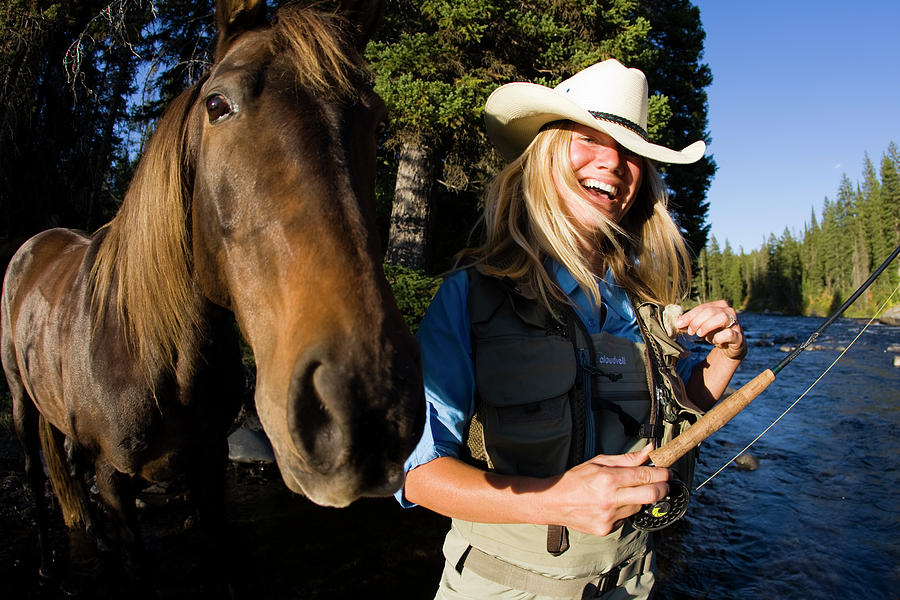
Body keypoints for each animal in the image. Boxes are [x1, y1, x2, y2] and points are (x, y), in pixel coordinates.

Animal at [0, 0, 422, 580]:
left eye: (376, 119)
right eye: (217, 105)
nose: (371, 405)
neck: (155, 350)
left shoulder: (211, 466)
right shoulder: (115, 481)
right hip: (20, 400)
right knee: (35, 472)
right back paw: (46, 561)